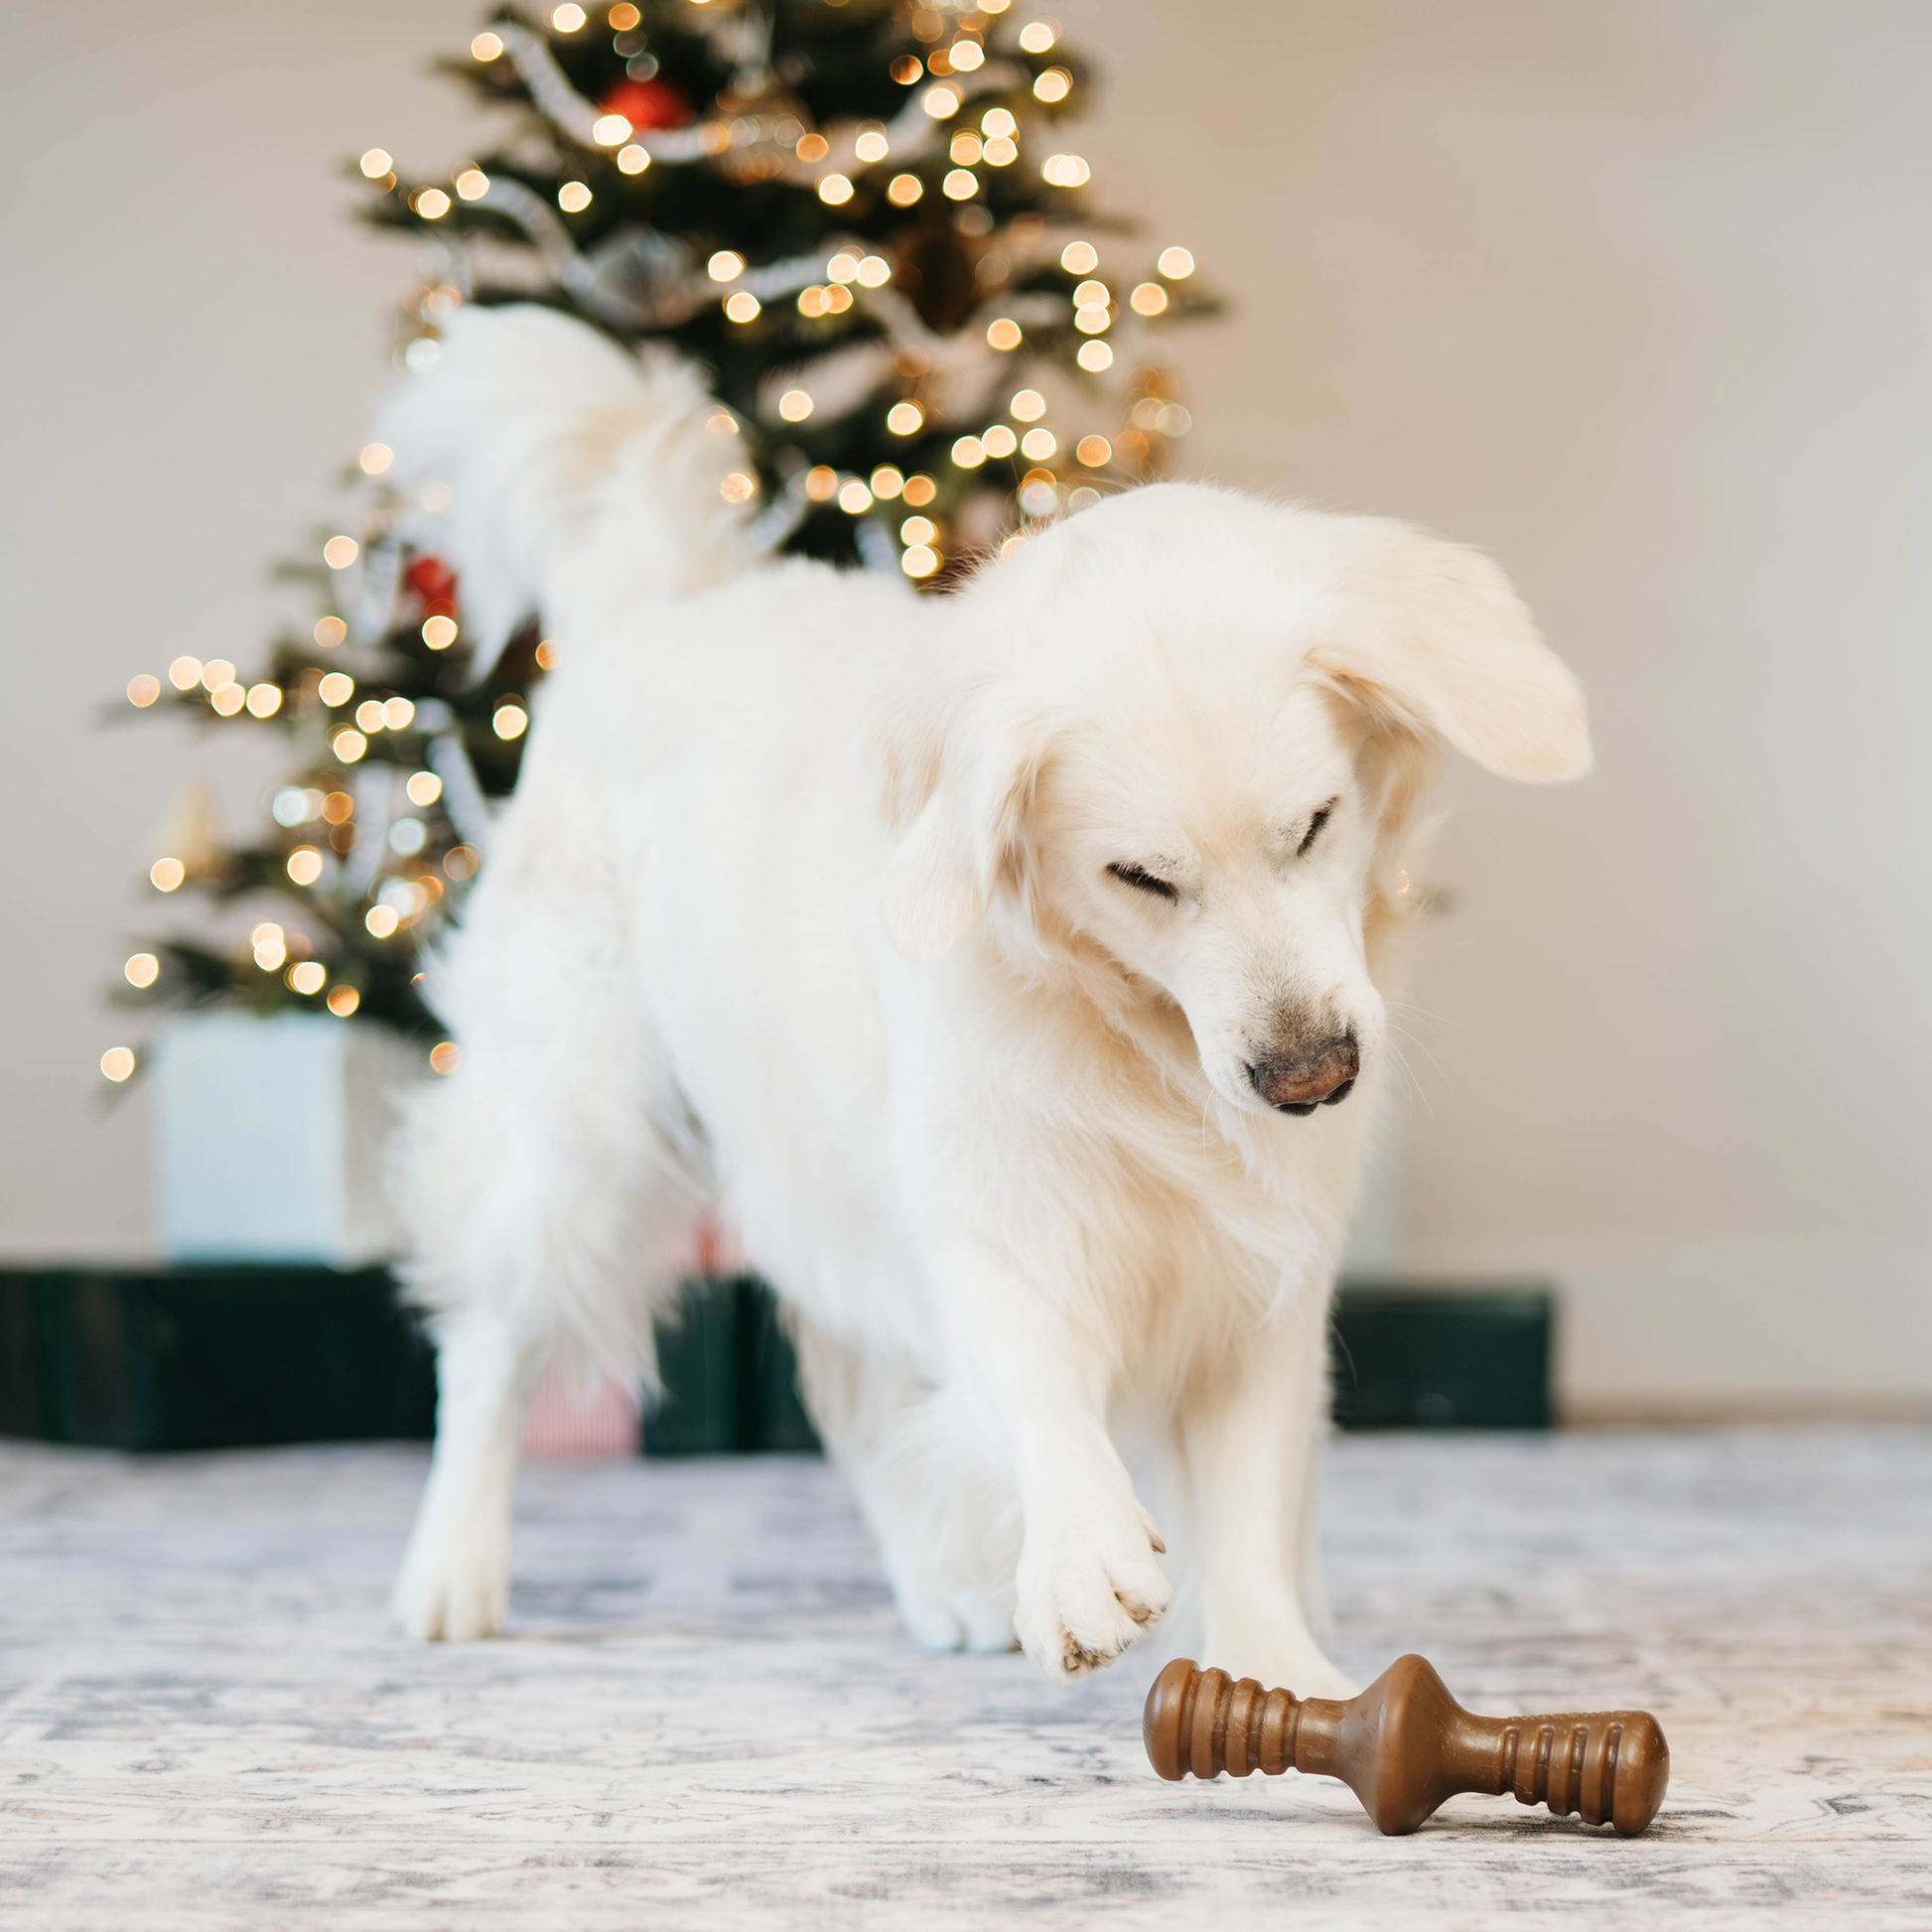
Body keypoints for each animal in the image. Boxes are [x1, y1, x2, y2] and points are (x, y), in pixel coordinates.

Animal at [376, 301, 1584, 1692]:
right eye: (1139, 876)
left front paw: (1272, 1676)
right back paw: (447, 1572)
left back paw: (938, 1588)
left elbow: (1248, 1497)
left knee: (846, 1386)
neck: (1141, 1039)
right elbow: (1033, 1378)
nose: (1307, 1078)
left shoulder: (1263, 1267)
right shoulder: (986, 1202)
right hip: (582, 1134)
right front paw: (1079, 1559)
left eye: (1316, 825)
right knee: (489, 1343)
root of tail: (659, 606)